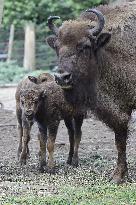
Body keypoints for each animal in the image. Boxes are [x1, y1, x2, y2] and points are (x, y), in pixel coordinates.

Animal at [46, 1, 136, 184]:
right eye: (57, 47)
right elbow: (120, 141)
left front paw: (118, 177)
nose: (62, 77)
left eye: (84, 46)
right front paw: (118, 176)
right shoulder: (118, 110)